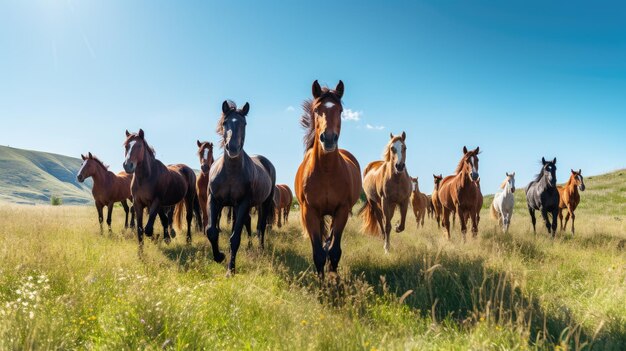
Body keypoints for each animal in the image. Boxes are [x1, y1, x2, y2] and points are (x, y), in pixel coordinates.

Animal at [206, 100, 274, 276]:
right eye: (225, 122)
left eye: (244, 123)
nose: (233, 148)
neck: (230, 172)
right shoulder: (214, 201)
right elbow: (211, 231)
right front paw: (220, 256)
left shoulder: (243, 203)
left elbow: (235, 237)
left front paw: (231, 269)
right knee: (248, 222)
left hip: (264, 203)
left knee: (260, 227)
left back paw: (260, 248)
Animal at [294, 80, 360, 278]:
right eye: (317, 109)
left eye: (340, 110)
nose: (329, 139)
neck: (326, 171)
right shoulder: (310, 212)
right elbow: (318, 253)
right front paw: (321, 282)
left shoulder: (342, 210)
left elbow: (334, 251)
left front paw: (334, 279)